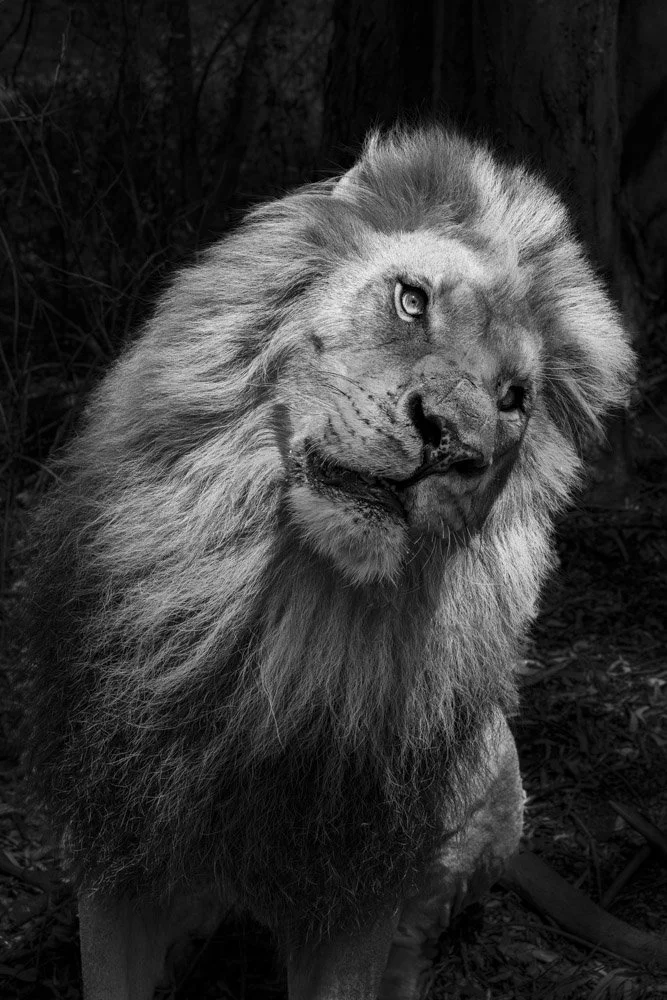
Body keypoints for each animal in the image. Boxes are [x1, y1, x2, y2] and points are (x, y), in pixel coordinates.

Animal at [25, 126, 633, 999]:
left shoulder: (355, 887)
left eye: (514, 399)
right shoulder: (116, 843)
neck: (284, 612)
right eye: (412, 300)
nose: (454, 444)